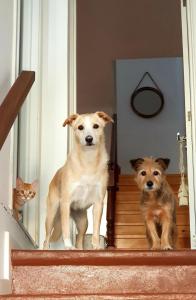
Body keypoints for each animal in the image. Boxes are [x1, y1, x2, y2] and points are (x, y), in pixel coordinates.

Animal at [43, 111, 112, 250]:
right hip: (52, 214)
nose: (89, 139)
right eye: (80, 127)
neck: (88, 161)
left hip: (83, 222)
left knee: (80, 240)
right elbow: (65, 228)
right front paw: (68, 246)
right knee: (46, 238)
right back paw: (44, 250)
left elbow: (96, 230)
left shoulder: (98, 204)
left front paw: (96, 246)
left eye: (96, 126)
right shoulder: (65, 203)